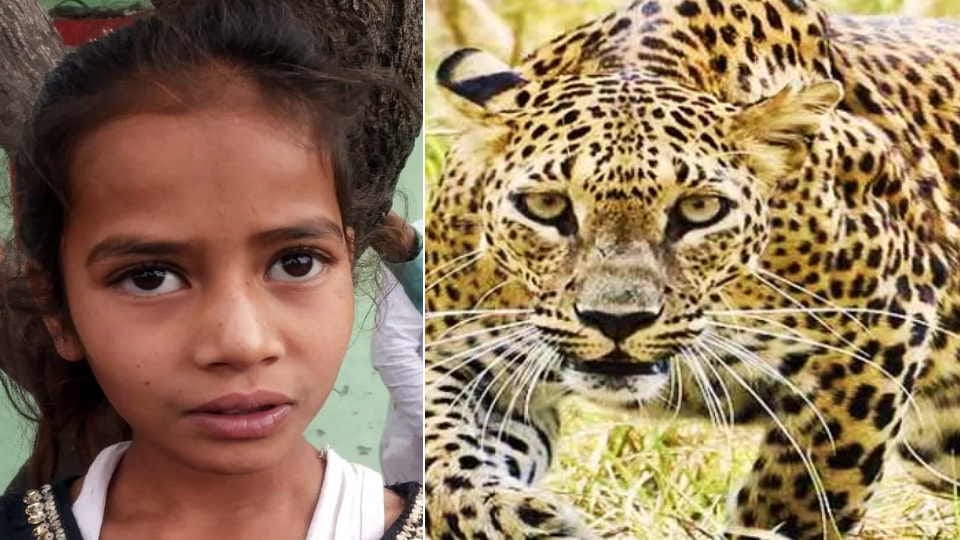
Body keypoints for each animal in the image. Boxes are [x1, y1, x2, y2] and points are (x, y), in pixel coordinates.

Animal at [424, 0, 960, 538]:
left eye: (700, 209)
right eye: (546, 205)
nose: (616, 321)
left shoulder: (881, 333)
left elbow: (803, 491)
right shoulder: (463, 358)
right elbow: (440, 455)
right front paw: (516, 519)